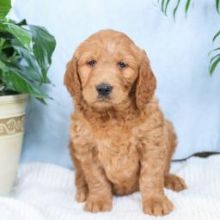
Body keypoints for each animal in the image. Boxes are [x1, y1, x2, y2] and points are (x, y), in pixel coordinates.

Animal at [63, 29, 186, 217]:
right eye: (91, 63)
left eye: (122, 65)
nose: (103, 88)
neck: (112, 115)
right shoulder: (86, 147)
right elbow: (96, 178)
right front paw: (98, 200)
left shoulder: (152, 142)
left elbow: (152, 176)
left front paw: (155, 201)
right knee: (79, 174)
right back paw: (83, 190)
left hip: (169, 130)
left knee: (164, 169)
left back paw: (172, 179)